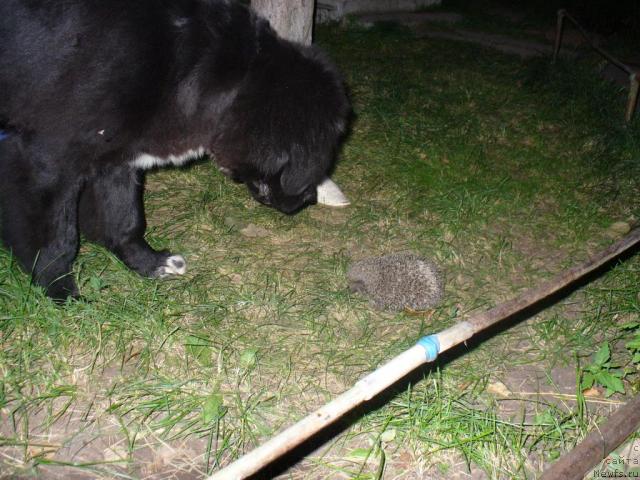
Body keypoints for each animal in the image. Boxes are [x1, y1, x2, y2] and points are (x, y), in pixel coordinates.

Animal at [0, 0, 350, 300]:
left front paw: (147, 263)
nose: (311, 198)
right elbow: (58, 238)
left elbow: (124, 219)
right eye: (314, 154)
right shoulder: (48, 159)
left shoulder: (117, 154)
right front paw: (59, 290)